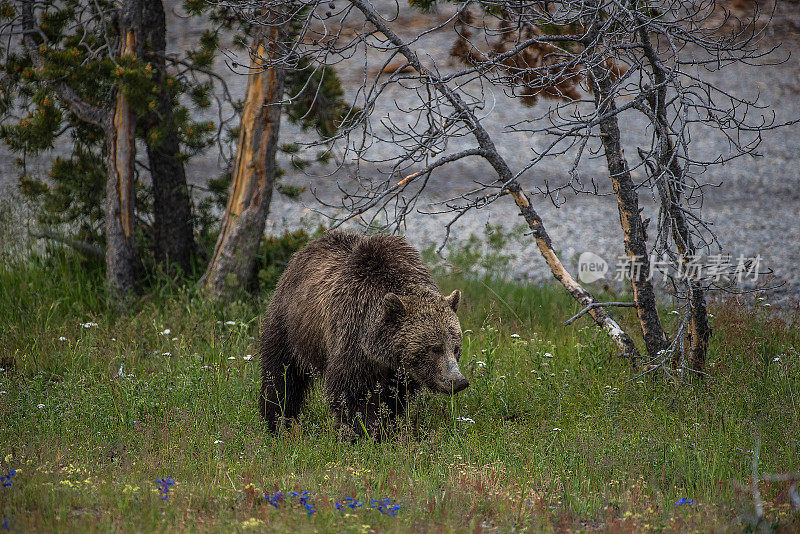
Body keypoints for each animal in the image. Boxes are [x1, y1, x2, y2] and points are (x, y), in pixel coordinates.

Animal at [256, 230, 468, 436]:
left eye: (456, 348)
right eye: (435, 348)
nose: (458, 381)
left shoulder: (398, 371)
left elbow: (396, 397)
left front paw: (388, 426)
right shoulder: (353, 335)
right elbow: (352, 394)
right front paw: (365, 431)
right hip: (292, 325)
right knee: (282, 375)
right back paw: (278, 422)